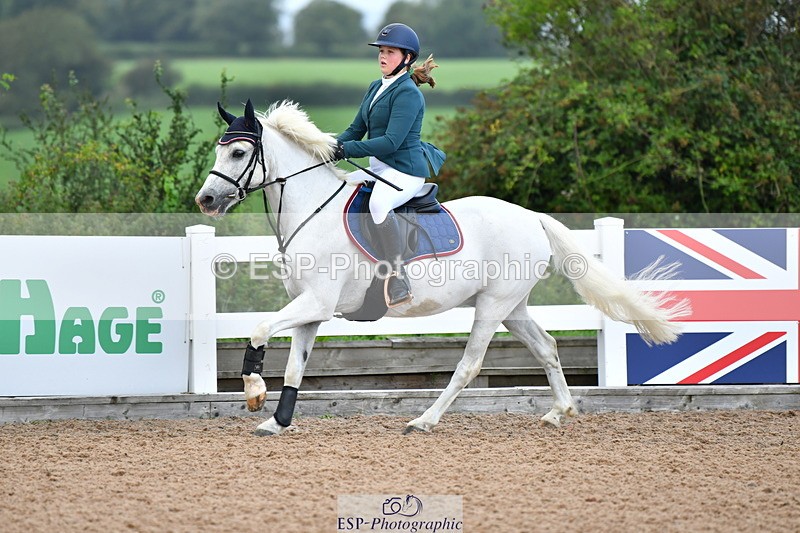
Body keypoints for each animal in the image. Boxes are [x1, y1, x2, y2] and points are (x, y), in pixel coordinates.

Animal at [195, 99, 690, 436]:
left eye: (238, 154)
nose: (206, 200)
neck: (312, 211)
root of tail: (532, 217)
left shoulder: (316, 302)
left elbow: (259, 330)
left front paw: (254, 393)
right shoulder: (310, 309)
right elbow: (296, 367)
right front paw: (277, 422)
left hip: (491, 307)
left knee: (469, 365)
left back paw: (424, 420)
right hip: (512, 306)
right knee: (547, 346)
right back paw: (558, 412)